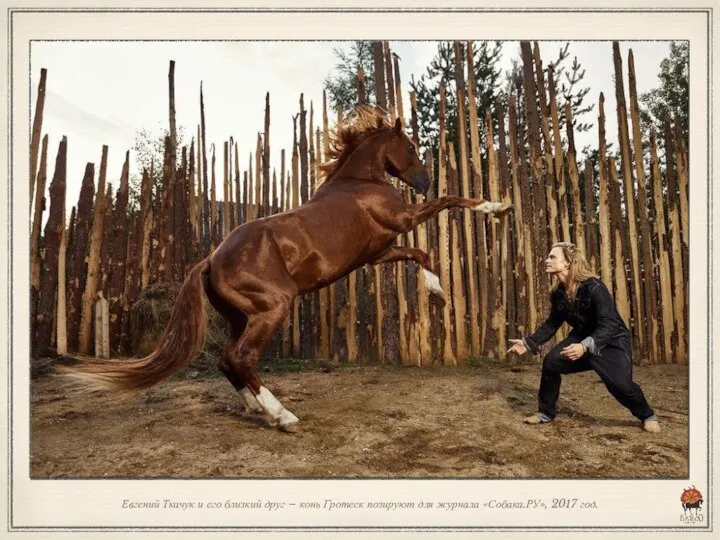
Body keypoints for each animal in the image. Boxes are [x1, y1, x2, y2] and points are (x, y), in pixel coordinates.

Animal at [63, 107, 512, 432]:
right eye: (412, 147)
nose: (423, 181)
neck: (360, 183)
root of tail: (210, 260)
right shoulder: (402, 220)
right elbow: (452, 201)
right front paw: (498, 207)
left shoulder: (379, 253)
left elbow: (421, 256)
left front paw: (437, 293)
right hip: (274, 306)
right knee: (241, 358)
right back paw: (283, 416)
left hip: (243, 316)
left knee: (227, 361)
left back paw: (256, 409)